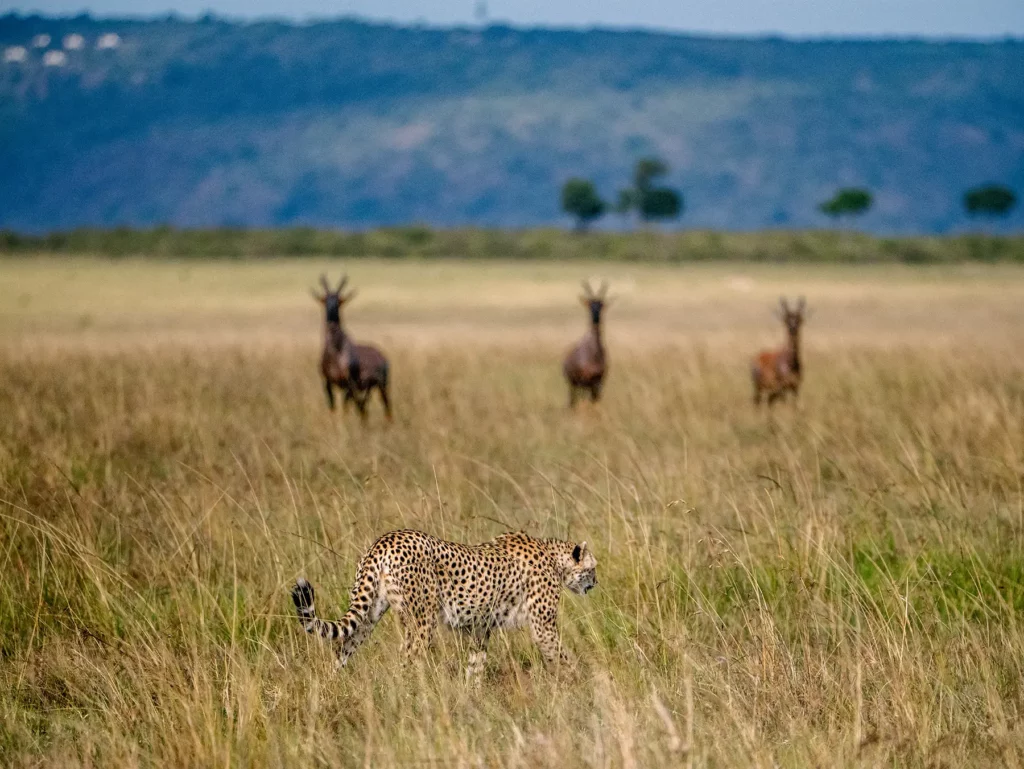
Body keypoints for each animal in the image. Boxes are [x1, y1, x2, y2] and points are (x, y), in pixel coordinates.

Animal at [291, 529, 597, 679]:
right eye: (592, 569)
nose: (594, 584)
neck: (554, 557)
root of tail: (386, 539)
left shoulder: (480, 629)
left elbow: (476, 665)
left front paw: (472, 698)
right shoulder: (543, 627)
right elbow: (562, 656)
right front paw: (580, 685)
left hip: (370, 614)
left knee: (344, 647)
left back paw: (330, 689)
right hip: (422, 620)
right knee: (408, 657)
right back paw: (410, 697)